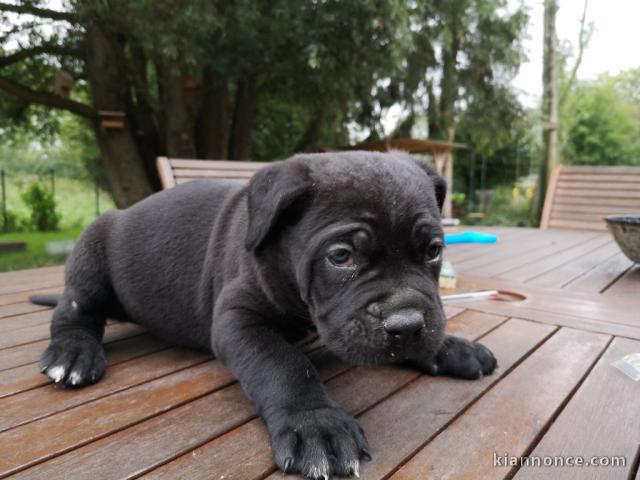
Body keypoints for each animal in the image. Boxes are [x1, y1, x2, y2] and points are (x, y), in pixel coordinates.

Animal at [35, 151, 496, 480]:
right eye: (341, 256)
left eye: (434, 251)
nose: (407, 325)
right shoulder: (239, 319)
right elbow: (283, 363)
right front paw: (315, 423)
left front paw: (451, 347)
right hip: (91, 257)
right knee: (74, 312)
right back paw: (73, 354)